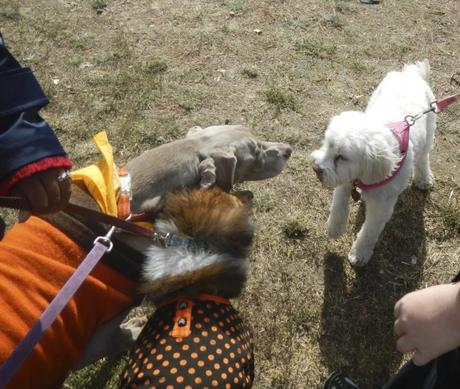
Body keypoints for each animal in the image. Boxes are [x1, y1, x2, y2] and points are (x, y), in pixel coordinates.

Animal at [312, 60, 434, 266]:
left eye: (342, 157)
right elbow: (338, 204)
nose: (316, 169)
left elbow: (369, 231)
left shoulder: (381, 206)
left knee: (424, 156)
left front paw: (359, 254)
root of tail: (412, 74)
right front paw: (334, 227)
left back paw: (424, 178)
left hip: (430, 129)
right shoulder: (345, 179)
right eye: (327, 145)